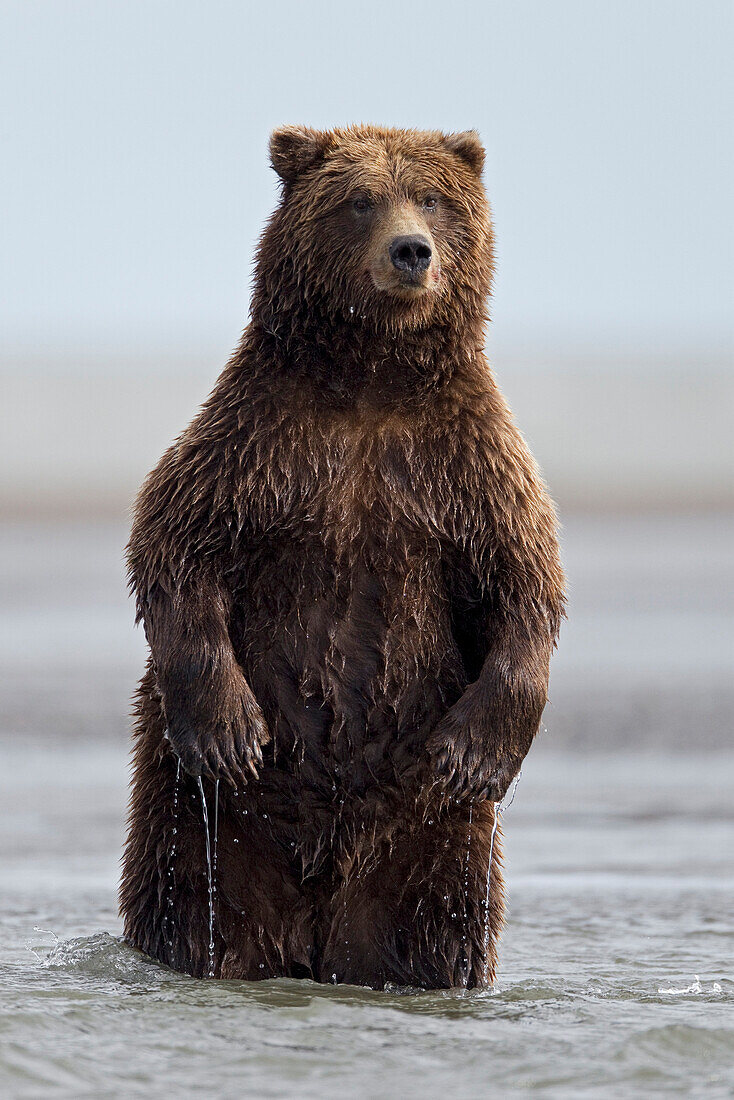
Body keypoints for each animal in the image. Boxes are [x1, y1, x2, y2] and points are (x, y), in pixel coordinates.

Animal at [120, 126, 567, 990]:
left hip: (429, 836)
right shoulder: (258, 443)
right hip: (210, 820)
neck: (372, 378)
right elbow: (176, 545)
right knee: (192, 899)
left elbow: (525, 579)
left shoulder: (466, 464)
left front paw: (476, 752)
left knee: (435, 925)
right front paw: (228, 730)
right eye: (360, 200)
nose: (411, 251)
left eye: (431, 196)